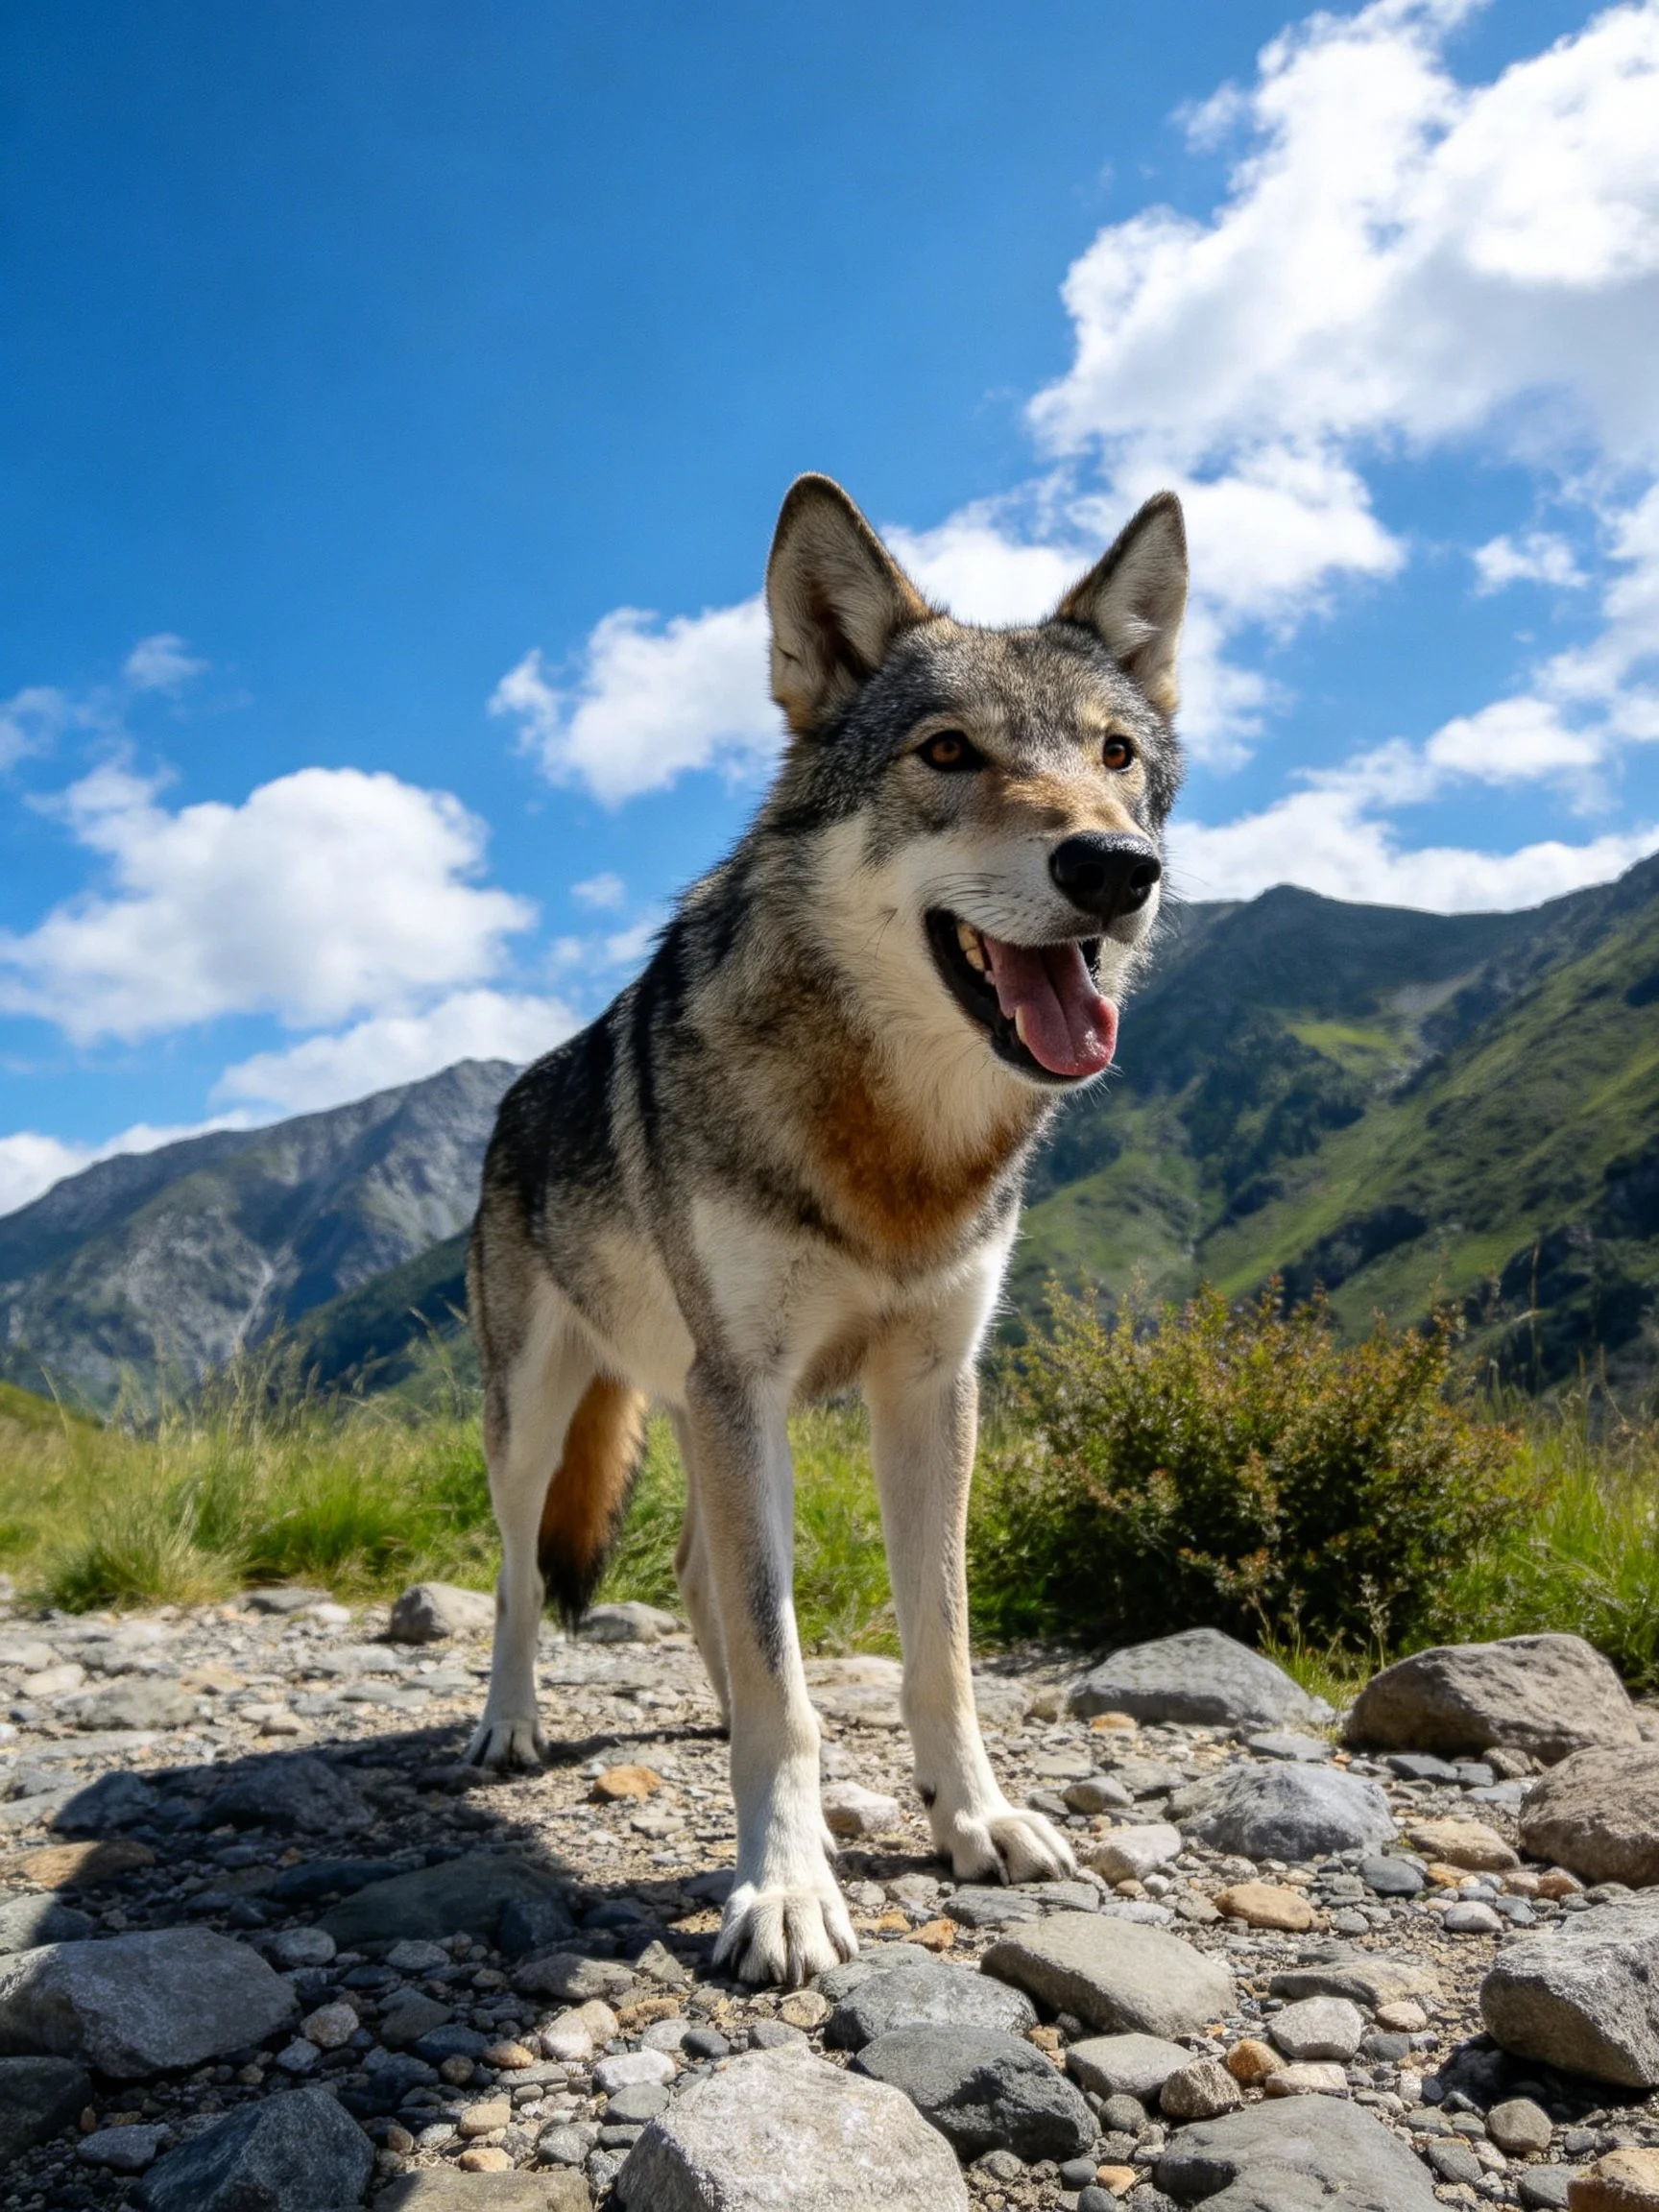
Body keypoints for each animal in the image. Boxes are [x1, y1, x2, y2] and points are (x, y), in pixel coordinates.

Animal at [466, 474, 1186, 1986]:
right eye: (947, 750)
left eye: (1116, 755)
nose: (1116, 866)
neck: (894, 1140)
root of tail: (515, 1087)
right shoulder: (748, 1388)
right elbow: (787, 1674)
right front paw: (785, 1889)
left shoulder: (929, 1387)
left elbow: (937, 1652)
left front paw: (975, 1821)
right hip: (551, 1415)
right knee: (515, 1579)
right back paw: (510, 1724)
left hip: (697, 1411)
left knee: (700, 1576)